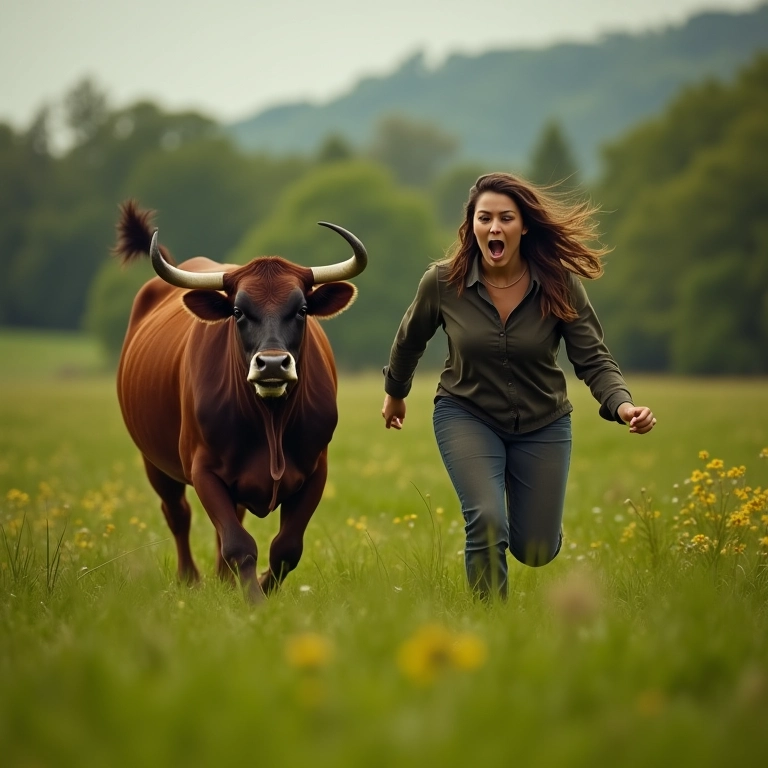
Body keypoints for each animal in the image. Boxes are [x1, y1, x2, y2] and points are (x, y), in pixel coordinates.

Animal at [113, 200, 367, 602]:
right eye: (237, 311)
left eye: (302, 310)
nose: (273, 364)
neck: (270, 421)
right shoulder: (202, 469)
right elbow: (237, 543)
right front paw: (253, 601)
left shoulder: (315, 470)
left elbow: (286, 547)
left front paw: (260, 588)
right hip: (154, 462)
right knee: (178, 514)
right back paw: (191, 579)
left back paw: (223, 580)